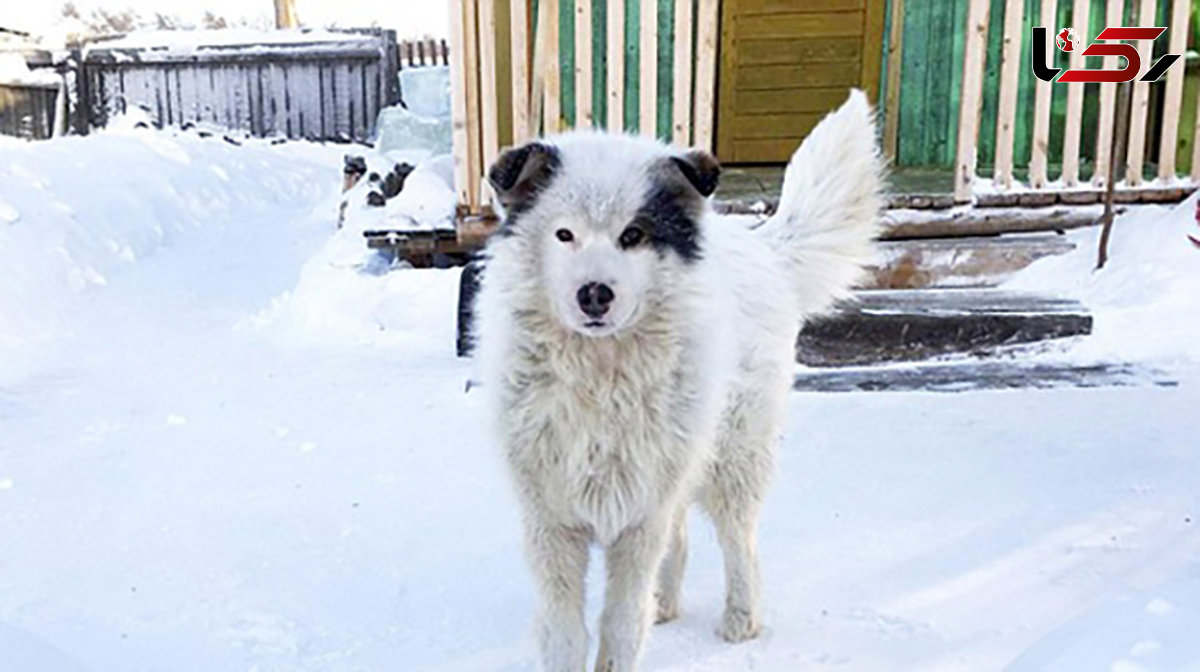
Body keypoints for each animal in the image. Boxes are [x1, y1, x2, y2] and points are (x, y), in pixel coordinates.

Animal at [475, 90, 883, 672]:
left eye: (633, 235)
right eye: (564, 234)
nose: (594, 293)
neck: (600, 377)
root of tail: (762, 245)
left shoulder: (638, 518)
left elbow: (620, 625)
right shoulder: (553, 522)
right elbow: (566, 633)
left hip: (732, 456)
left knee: (739, 540)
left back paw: (740, 620)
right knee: (683, 536)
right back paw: (665, 604)